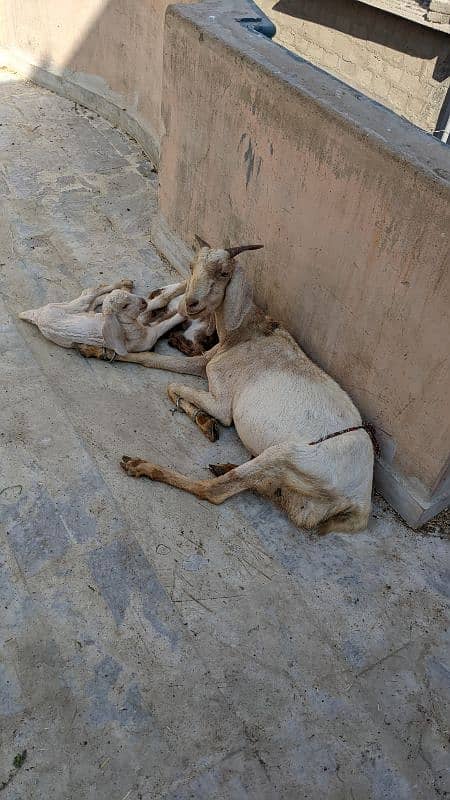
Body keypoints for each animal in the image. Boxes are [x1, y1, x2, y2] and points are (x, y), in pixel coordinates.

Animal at [80, 241, 372, 536]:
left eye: (223, 273)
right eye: (192, 266)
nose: (190, 304)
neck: (247, 333)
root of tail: (359, 504)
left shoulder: (220, 390)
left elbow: (159, 368)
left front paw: (96, 349)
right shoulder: (206, 362)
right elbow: (172, 382)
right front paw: (203, 421)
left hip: (289, 456)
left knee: (213, 492)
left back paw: (143, 466)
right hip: (300, 498)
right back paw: (224, 467)